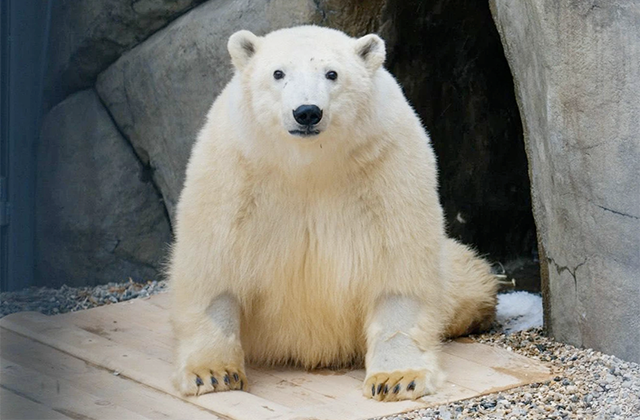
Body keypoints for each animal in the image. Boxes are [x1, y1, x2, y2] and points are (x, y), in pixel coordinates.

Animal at [168, 24, 498, 402]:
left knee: (464, 281)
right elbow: (214, 264)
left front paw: (397, 378)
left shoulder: (386, 164)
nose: (307, 112)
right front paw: (212, 373)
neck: (309, 163)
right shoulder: (235, 167)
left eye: (332, 74)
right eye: (278, 73)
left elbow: (398, 266)